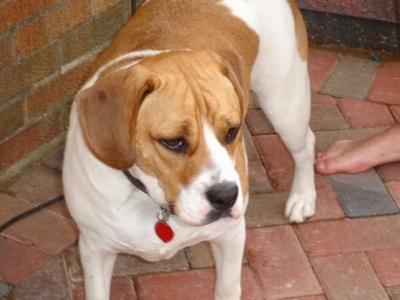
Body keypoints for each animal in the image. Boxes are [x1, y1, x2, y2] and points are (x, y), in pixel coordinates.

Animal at [63, 0, 316, 298]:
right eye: (173, 141)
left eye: (232, 131)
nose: (226, 196)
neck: (153, 200)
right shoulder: (95, 249)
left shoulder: (230, 235)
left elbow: (227, 288)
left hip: (285, 103)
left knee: (306, 146)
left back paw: (302, 198)